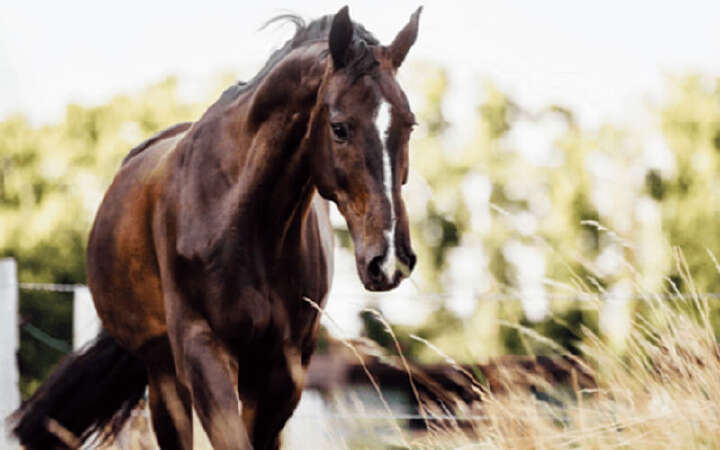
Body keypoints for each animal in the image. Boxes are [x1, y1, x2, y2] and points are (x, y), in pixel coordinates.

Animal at [10, 6, 421, 449]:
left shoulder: (282, 371)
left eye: (410, 124)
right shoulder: (201, 353)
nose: (389, 259)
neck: (241, 220)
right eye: (340, 127)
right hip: (163, 374)